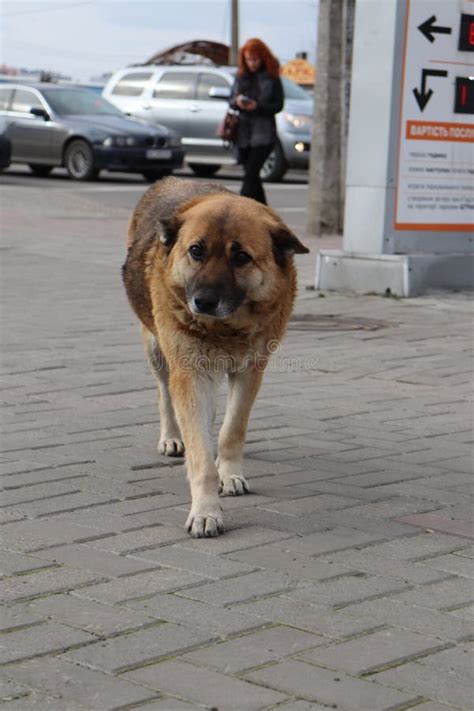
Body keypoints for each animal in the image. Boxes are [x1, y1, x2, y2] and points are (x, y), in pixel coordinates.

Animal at [123, 178, 308, 540]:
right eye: (197, 251)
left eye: (241, 257)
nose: (203, 302)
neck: (224, 329)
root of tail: (170, 181)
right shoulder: (189, 374)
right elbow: (200, 458)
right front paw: (206, 510)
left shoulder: (250, 373)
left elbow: (232, 429)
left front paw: (229, 472)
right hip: (156, 351)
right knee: (165, 395)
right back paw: (172, 437)